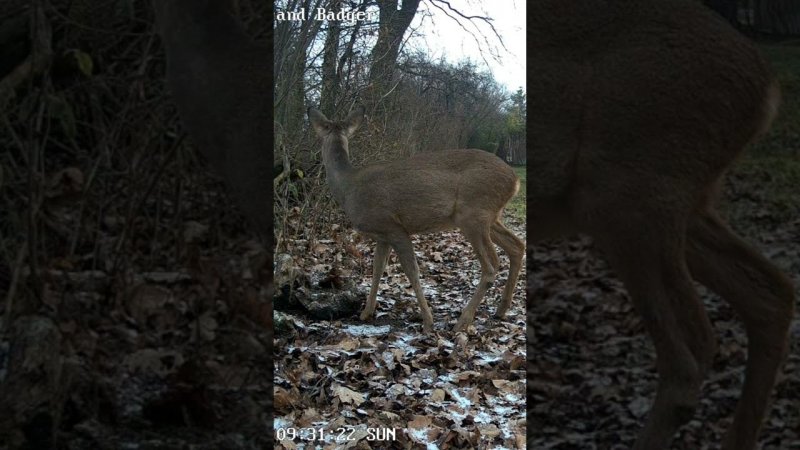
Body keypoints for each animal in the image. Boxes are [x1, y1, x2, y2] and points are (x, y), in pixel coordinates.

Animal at [306, 106, 524, 334]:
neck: (348, 187)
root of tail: (515, 180)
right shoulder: (382, 235)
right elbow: (377, 270)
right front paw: (366, 312)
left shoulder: (393, 227)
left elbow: (412, 271)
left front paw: (428, 321)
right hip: (489, 217)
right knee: (517, 246)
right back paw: (501, 310)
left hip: (473, 214)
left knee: (491, 266)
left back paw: (463, 321)